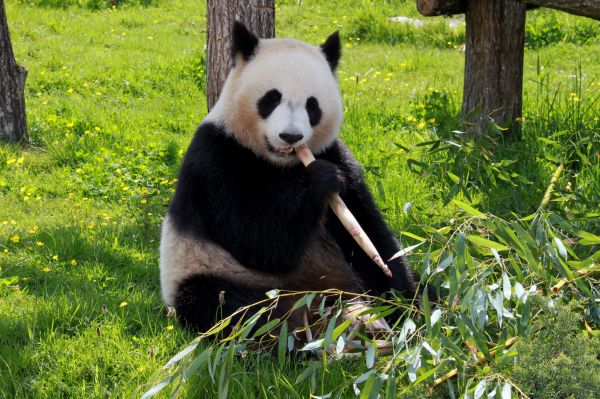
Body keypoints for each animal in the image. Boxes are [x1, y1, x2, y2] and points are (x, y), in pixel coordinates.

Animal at [162, 22, 420, 334]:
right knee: (223, 304)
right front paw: (321, 179)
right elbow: (257, 239)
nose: (291, 136)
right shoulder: (217, 158)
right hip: (207, 270)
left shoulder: (335, 153)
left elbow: (367, 231)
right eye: (272, 98)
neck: (281, 163)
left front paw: (401, 300)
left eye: (312, 105)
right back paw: (296, 331)